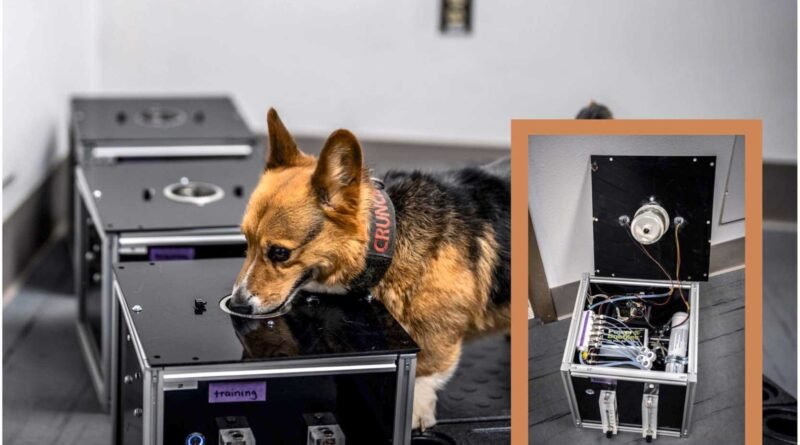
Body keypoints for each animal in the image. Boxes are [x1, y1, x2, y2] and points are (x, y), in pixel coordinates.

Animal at [231, 109, 510, 430]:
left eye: (280, 253)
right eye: (246, 241)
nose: (236, 305)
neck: (387, 243)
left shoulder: (440, 327)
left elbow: (427, 369)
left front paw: (414, 410)